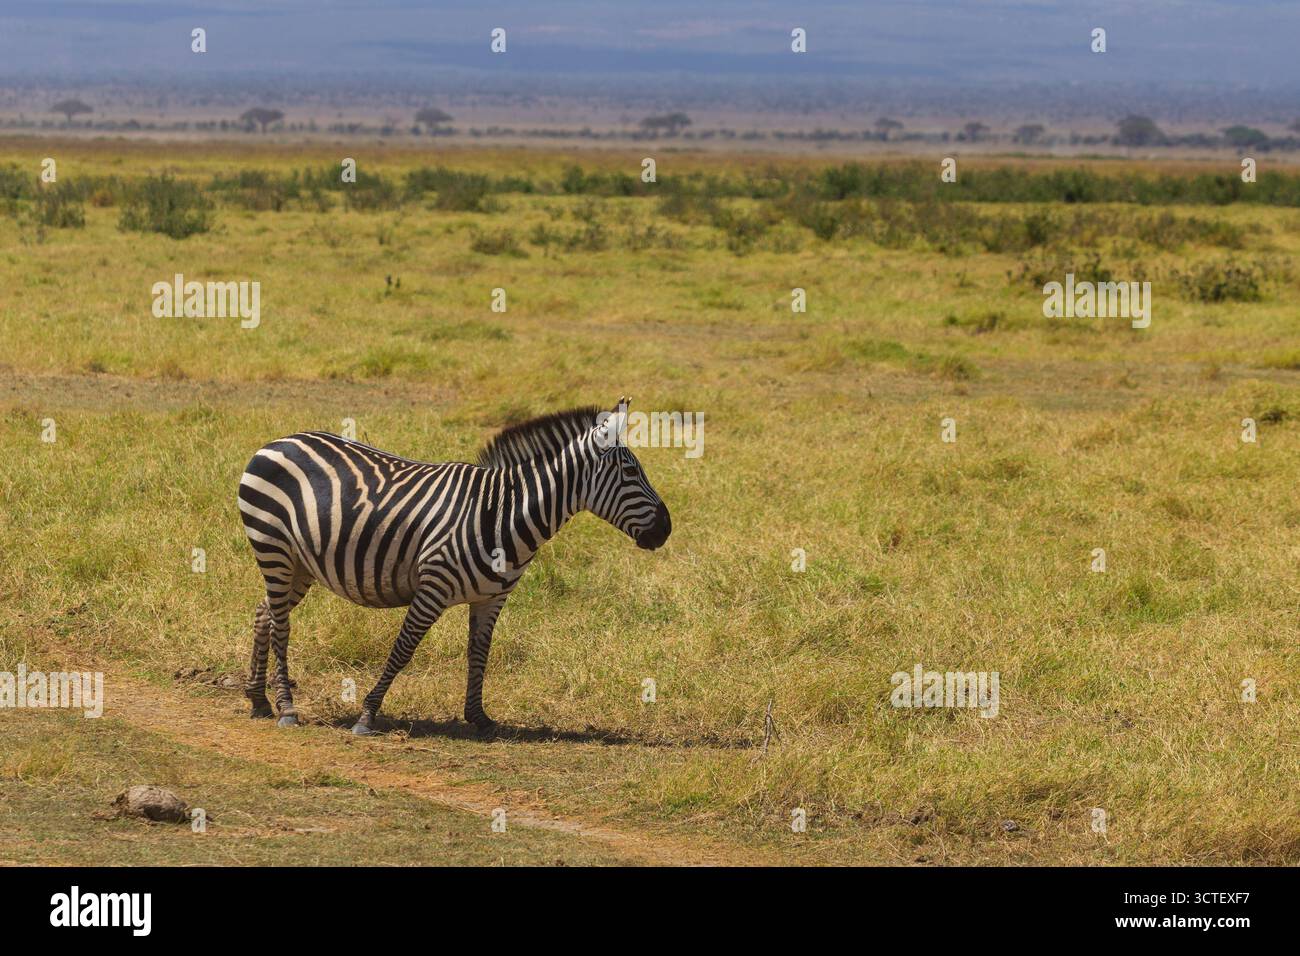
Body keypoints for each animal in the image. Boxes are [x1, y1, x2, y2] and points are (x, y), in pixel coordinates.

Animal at [236, 399, 671, 736]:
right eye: (631, 472)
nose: (666, 529)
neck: (503, 514)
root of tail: (278, 441)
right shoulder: (433, 587)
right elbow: (403, 649)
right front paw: (368, 714)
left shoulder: (492, 598)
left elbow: (479, 652)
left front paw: (479, 717)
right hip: (273, 547)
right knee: (281, 625)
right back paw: (286, 708)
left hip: (298, 563)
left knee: (264, 613)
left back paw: (259, 700)